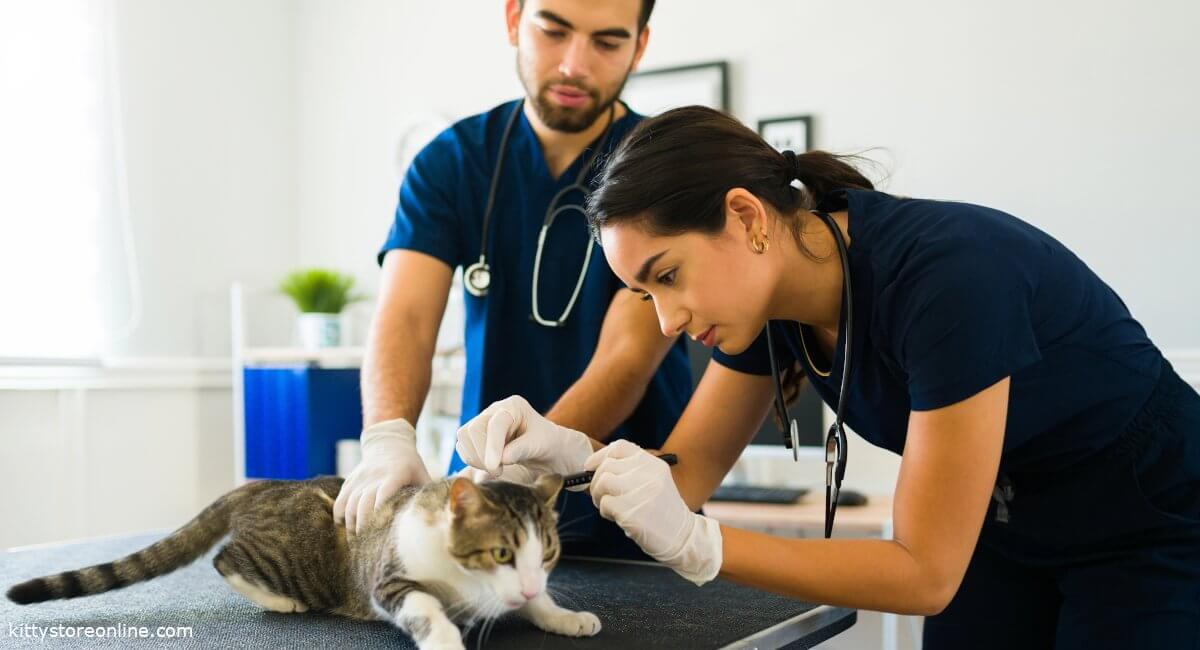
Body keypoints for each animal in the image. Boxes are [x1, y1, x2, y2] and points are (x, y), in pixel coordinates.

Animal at [3, 474, 595, 650]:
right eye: (500, 552)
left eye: (547, 554)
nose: (526, 584)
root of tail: (265, 483)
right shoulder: (389, 579)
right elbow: (424, 607)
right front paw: (446, 638)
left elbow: (538, 603)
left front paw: (564, 615)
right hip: (297, 559)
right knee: (225, 557)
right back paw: (278, 598)